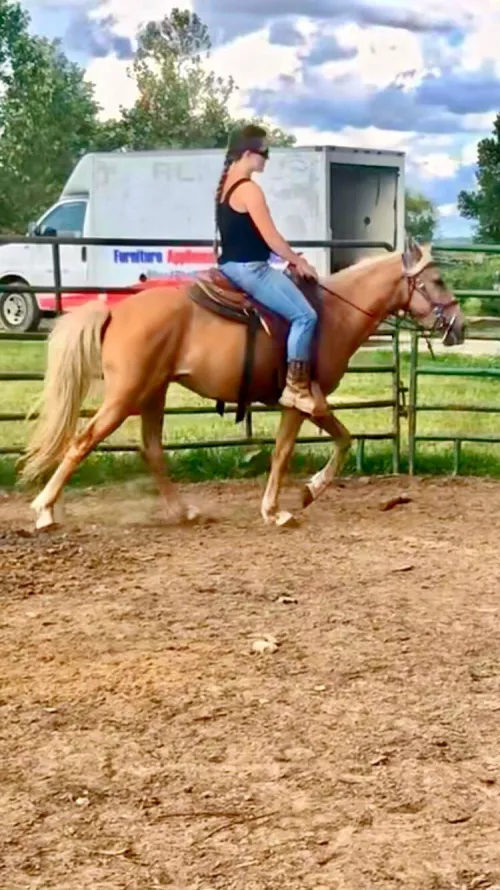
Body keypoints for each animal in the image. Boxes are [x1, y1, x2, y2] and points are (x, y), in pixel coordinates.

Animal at [20, 237, 465, 530]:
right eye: (439, 280)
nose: (459, 327)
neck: (333, 314)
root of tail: (116, 311)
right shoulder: (307, 400)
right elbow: (316, 445)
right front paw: (293, 501)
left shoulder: (298, 405)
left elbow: (307, 446)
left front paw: (289, 499)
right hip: (126, 394)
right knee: (83, 441)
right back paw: (45, 510)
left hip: (153, 393)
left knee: (152, 449)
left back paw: (184, 512)